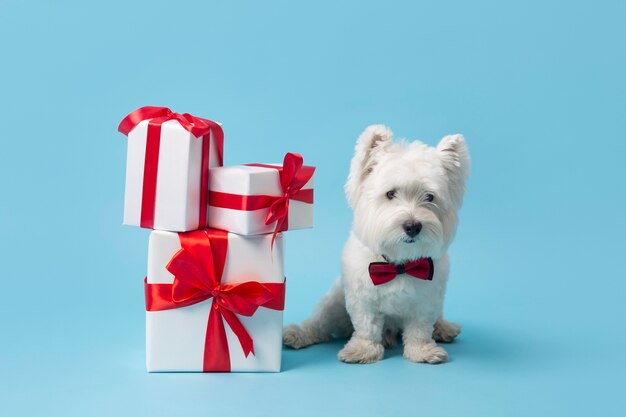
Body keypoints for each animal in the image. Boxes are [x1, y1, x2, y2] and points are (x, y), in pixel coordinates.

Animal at [282, 125, 468, 362]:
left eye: (429, 197)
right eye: (390, 193)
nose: (413, 226)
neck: (399, 264)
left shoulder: (426, 300)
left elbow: (420, 328)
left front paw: (422, 350)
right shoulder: (362, 298)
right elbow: (367, 325)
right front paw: (363, 349)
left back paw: (443, 328)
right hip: (334, 302)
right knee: (319, 323)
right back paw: (298, 333)